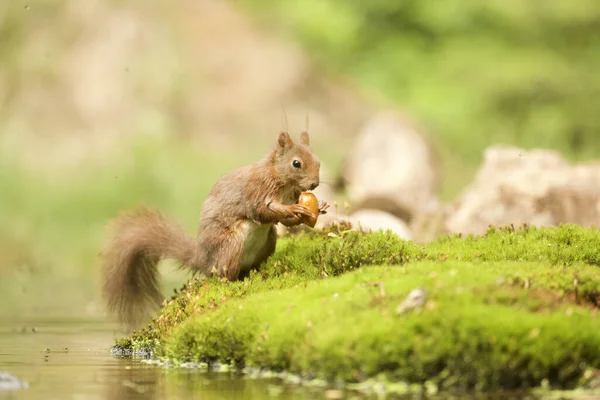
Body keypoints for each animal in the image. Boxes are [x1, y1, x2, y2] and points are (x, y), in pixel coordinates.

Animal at [101, 131, 330, 328]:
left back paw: (258, 273)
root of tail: (204, 259)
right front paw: (293, 209)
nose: (315, 183)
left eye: (318, 161)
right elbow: (263, 211)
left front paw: (318, 207)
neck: (280, 178)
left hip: (269, 241)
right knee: (223, 276)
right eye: (296, 163)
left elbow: (286, 223)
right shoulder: (257, 191)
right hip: (231, 245)